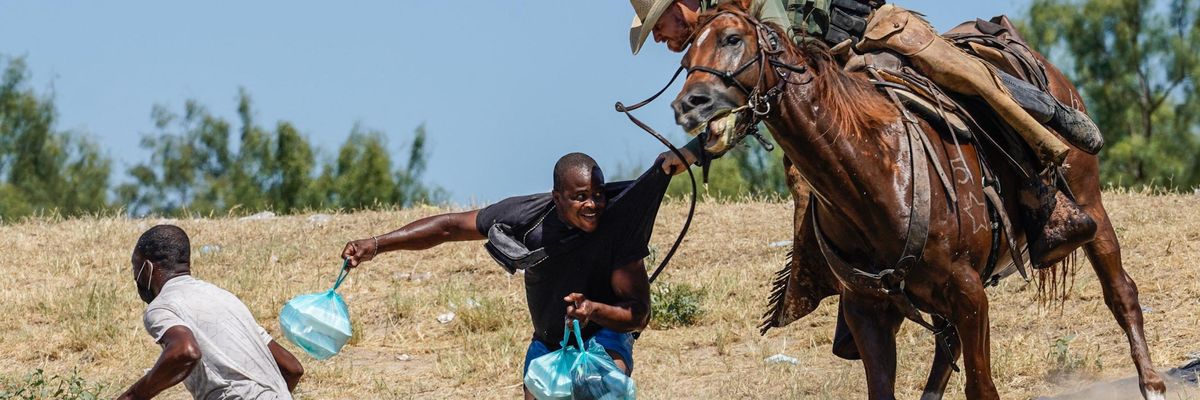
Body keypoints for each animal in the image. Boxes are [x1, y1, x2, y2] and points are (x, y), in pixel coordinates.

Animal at [667, 1, 1161, 396]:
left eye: (732, 39)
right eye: (687, 55)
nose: (689, 104)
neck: (875, 174)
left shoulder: (969, 293)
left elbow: (981, 386)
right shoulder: (867, 310)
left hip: (1089, 201)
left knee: (1121, 291)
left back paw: (1152, 382)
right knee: (946, 353)